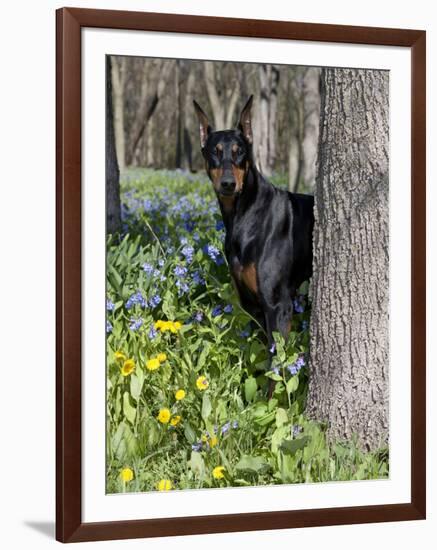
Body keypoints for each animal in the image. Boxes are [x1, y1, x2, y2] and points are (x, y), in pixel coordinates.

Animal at [192, 96, 312, 396]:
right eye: (215, 152)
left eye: (239, 152)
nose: (227, 183)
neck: (242, 216)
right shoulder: (252, 305)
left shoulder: (278, 305)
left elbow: (275, 366)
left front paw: (270, 403)